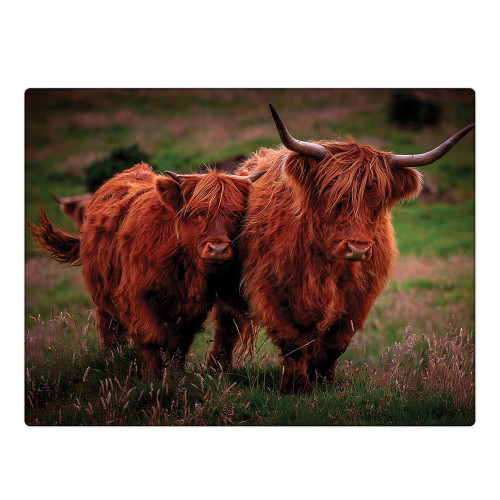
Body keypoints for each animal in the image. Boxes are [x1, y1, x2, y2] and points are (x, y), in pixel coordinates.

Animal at [30, 162, 266, 376]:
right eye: (197, 213)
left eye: (235, 214)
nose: (218, 249)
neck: (182, 266)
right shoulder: (137, 298)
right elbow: (153, 339)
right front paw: (154, 378)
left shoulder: (195, 307)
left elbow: (179, 345)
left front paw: (176, 376)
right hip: (102, 296)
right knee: (110, 330)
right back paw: (110, 358)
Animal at [213, 105, 474, 394]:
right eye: (334, 197)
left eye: (378, 202)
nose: (357, 248)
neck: (328, 265)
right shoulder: (276, 290)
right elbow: (294, 342)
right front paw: (297, 388)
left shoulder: (357, 299)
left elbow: (336, 343)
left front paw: (323, 380)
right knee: (226, 327)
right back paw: (217, 371)